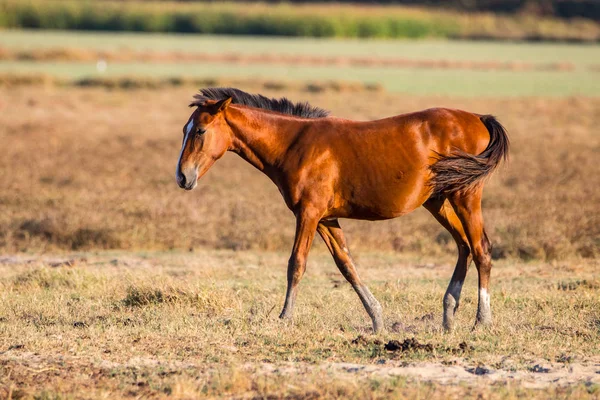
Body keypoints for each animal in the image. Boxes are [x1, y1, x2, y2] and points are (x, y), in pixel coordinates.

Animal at [176, 88, 508, 334]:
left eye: (200, 131)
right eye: (185, 129)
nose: (182, 177)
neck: (294, 144)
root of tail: (478, 118)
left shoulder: (308, 214)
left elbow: (296, 264)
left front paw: (285, 317)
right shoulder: (326, 219)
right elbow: (346, 265)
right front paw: (377, 319)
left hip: (465, 196)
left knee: (481, 248)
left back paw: (482, 321)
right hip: (438, 201)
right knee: (464, 246)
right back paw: (449, 315)